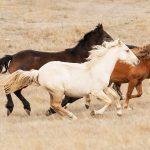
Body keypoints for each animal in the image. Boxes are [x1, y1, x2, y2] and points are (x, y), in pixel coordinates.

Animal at [0, 39, 139, 119]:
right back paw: (71, 116)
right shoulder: (96, 91)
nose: (137, 61)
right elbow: (109, 101)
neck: (98, 68)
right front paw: (95, 112)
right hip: (58, 92)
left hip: (52, 92)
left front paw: (119, 112)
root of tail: (39, 72)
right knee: (56, 104)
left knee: (54, 105)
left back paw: (64, 116)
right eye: (127, 50)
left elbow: (115, 96)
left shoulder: (104, 88)